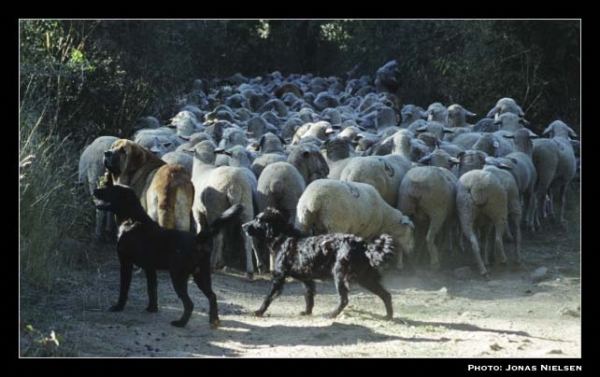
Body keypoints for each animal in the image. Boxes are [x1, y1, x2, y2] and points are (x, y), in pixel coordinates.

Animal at [94, 184, 244, 328]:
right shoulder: (150, 268)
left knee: (190, 303)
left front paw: (118, 307)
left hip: (178, 277)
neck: (132, 220)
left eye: (111, 189)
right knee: (212, 296)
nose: (95, 189)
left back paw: (180, 323)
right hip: (201, 275)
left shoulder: (125, 263)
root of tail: (197, 239)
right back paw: (214, 321)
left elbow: (123, 289)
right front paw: (152, 309)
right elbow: (152, 290)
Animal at [241, 207, 396, 318]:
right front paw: (307, 312)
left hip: (340, 276)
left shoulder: (279, 277)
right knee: (386, 295)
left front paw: (259, 311)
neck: (283, 236)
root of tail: (363, 245)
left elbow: (268, 297)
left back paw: (332, 314)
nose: (243, 225)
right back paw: (388, 316)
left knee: (344, 300)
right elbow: (309, 297)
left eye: (258, 220)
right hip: (366, 278)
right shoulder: (307, 279)